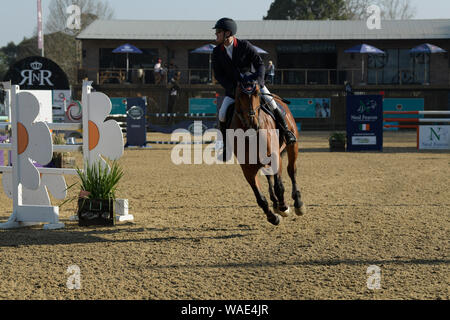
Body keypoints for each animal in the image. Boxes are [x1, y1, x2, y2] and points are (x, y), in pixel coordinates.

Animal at [227, 80, 308, 225]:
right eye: (239, 96)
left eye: (257, 94)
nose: (253, 123)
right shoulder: (247, 169)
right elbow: (260, 198)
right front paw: (273, 217)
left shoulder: (275, 158)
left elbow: (279, 186)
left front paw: (284, 208)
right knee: (269, 177)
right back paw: (275, 204)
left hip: (293, 146)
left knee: (291, 170)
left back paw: (297, 203)